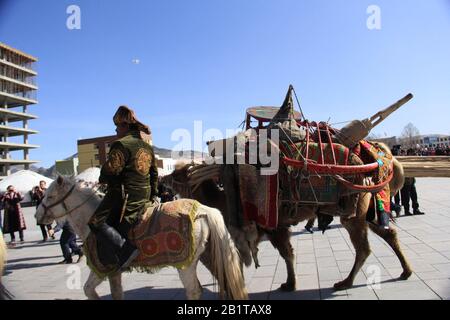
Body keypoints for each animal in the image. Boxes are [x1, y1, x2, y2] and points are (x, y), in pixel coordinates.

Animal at [34, 178, 248, 300]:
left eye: (50, 196)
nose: (37, 216)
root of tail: (204, 210)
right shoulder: (114, 272)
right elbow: (116, 293)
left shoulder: (101, 268)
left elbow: (88, 290)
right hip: (207, 256)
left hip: (186, 265)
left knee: (194, 291)